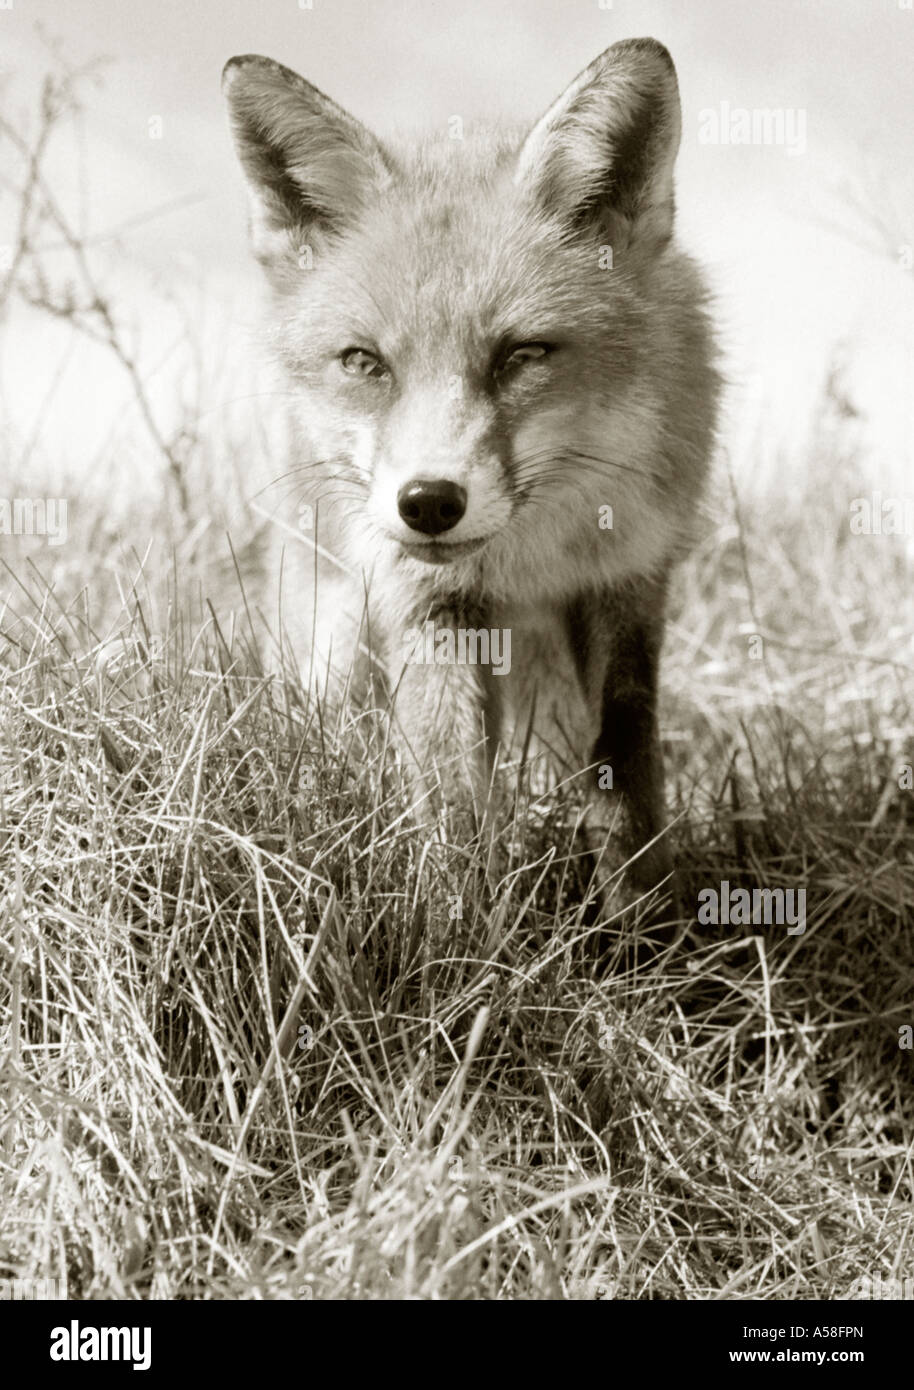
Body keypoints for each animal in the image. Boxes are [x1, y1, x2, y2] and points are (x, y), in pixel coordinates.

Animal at [223, 38, 719, 893]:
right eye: (364, 362)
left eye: (521, 355)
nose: (428, 502)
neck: (530, 551)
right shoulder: (429, 603)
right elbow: (453, 796)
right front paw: (462, 918)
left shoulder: (628, 578)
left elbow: (626, 761)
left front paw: (643, 909)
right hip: (328, 624)